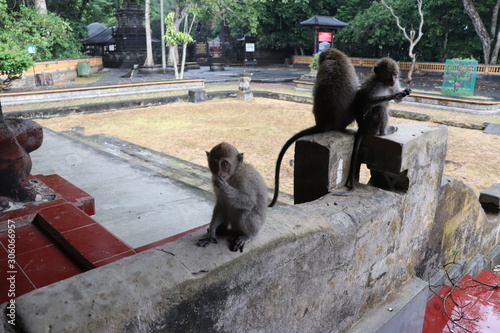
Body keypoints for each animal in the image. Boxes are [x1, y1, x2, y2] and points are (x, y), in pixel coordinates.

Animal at [344, 57, 410, 189]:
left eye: (395, 74)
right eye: (389, 75)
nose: (393, 80)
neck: (383, 82)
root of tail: (361, 126)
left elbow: (398, 100)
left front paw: (403, 93)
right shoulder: (375, 85)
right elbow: (366, 100)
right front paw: (392, 95)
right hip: (370, 123)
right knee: (380, 109)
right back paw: (384, 132)